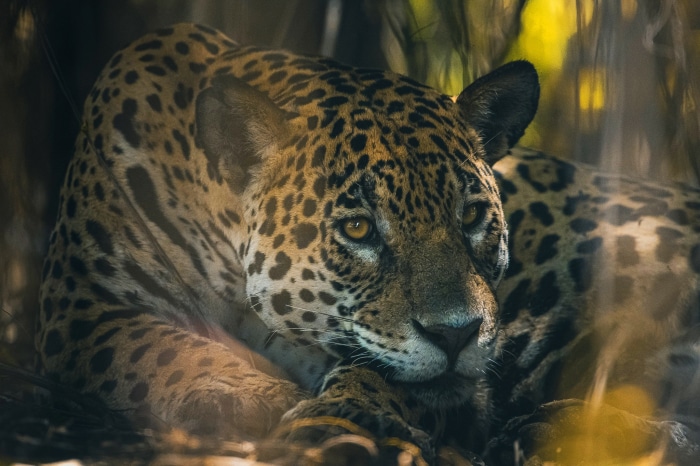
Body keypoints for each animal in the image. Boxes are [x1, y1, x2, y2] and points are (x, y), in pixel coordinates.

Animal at [35, 22, 539, 458]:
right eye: (359, 228)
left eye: (471, 215)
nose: (457, 335)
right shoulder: (81, 304)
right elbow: (153, 345)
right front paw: (245, 393)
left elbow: (381, 376)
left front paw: (346, 414)